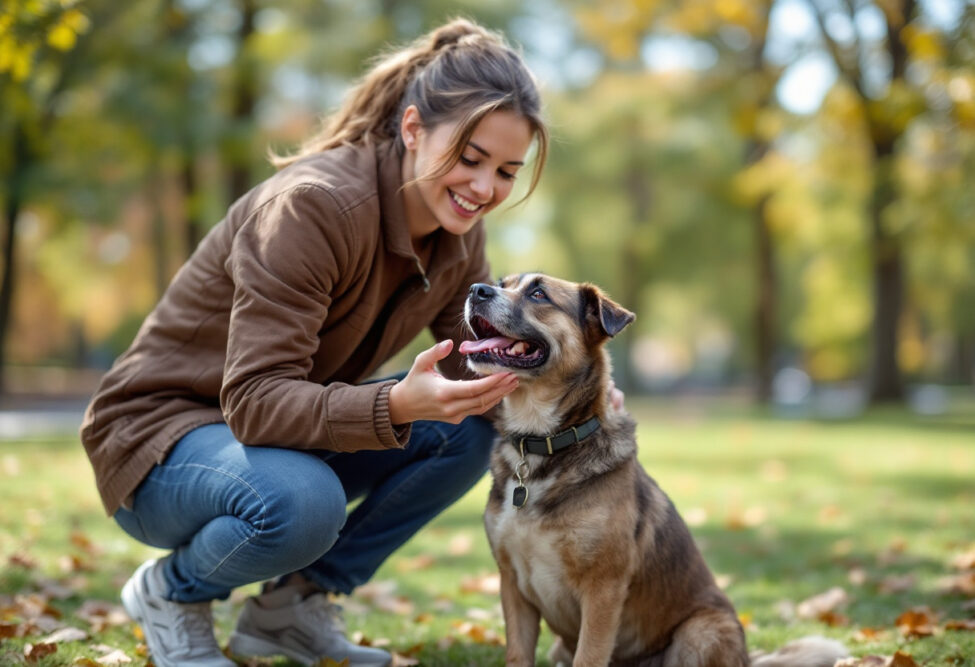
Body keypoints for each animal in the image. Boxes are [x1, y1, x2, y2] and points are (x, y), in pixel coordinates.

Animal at [458, 272, 848, 667]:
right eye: (501, 282)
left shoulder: (603, 590)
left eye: (538, 293)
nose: (476, 290)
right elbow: (517, 654)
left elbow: (589, 656)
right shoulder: (511, 583)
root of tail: (745, 660)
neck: (544, 445)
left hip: (701, 630)